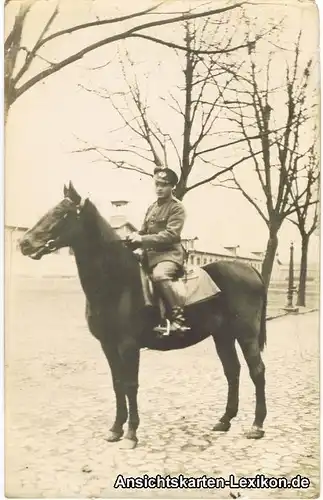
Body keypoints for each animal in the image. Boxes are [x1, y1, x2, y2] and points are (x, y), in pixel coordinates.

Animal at [19, 183, 268, 450]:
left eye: (62, 213)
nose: (24, 243)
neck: (116, 282)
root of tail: (250, 269)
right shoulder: (108, 345)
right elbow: (118, 384)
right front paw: (115, 429)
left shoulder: (128, 346)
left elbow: (130, 384)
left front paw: (131, 434)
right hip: (222, 336)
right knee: (232, 370)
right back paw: (224, 420)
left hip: (246, 335)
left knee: (257, 371)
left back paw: (257, 426)